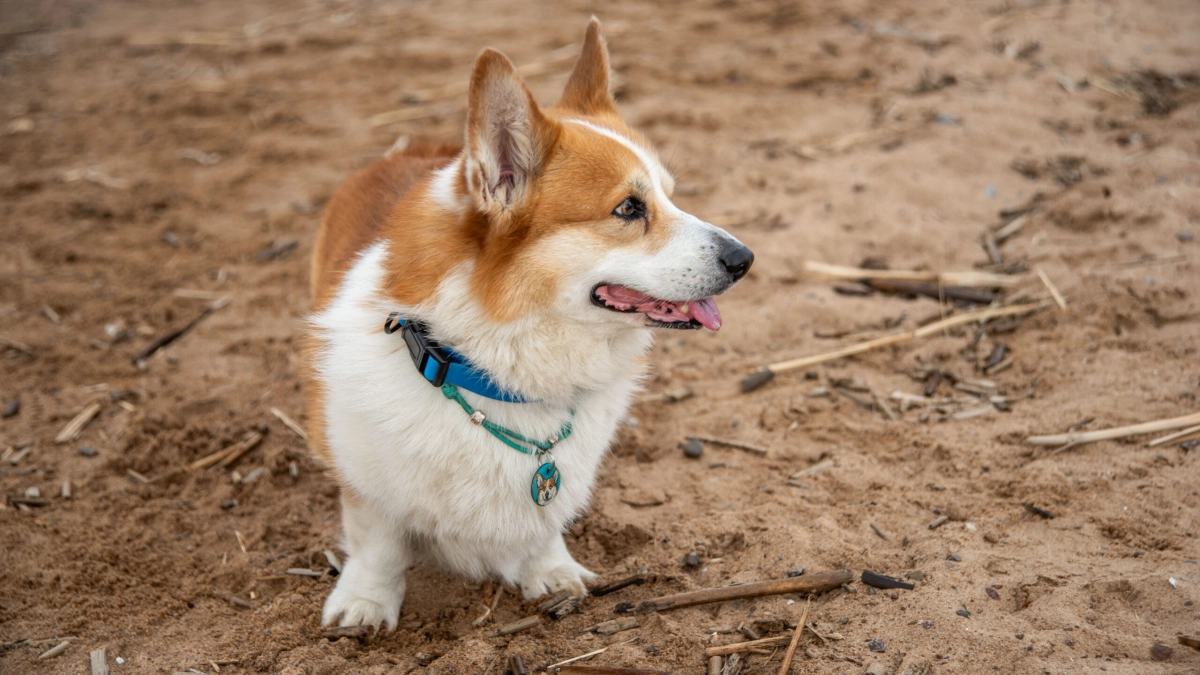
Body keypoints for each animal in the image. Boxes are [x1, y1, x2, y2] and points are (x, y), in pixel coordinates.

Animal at [309, 18, 753, 629]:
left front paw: (550, 570)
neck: (494, 367)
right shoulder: (361, 475)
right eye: (628, 208)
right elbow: (377, 541)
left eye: (670, 195)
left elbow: (544, 525)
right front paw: (366, 602)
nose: (745, 259)